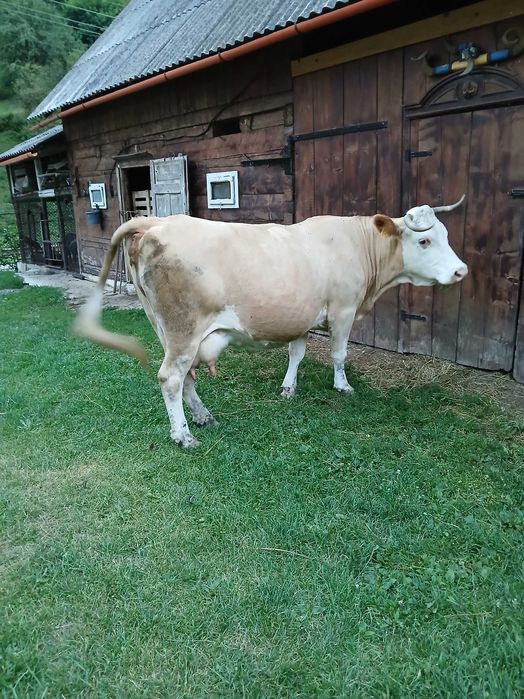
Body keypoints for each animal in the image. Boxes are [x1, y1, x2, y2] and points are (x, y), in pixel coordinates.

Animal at [74, 197, 467, 447]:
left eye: (447, 236)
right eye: (424, 239)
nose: (461, 271)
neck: (358, 244)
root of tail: (157, 220)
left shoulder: (301, 315)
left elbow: (297, 353)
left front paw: (289, 388)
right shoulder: (343, 308)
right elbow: (339, 355)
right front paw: (343, 386)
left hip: (166, 330)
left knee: (185, 377)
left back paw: (202, 417)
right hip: (184, 329)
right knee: (170, 378)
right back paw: (184, 435)